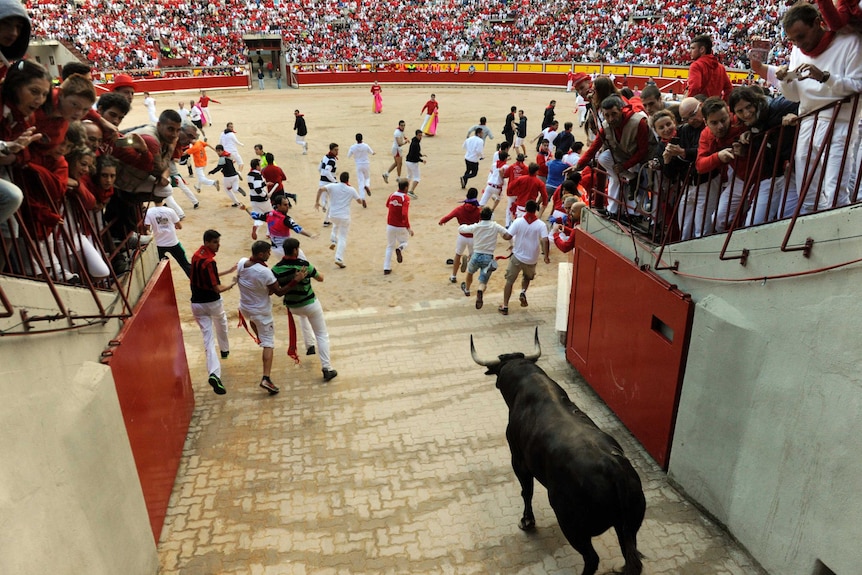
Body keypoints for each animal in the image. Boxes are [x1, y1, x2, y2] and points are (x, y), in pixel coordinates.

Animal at [472, 332, 648, 575]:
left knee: (591, 558)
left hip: (571, 523)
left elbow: (526, 491)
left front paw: (527, 521)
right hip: (629, 527)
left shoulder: (518, 460)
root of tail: (615, 471)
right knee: (632, 558)